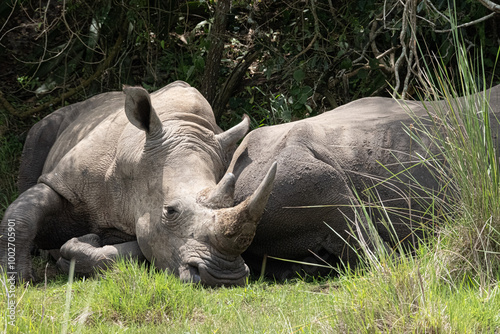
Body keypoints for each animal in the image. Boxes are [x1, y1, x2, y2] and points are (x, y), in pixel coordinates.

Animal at [0, 81, 276, 288]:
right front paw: (17, 279)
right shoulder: (64, 182)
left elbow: (135, 251)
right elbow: (25, 213)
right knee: (37, 136)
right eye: (170, 211)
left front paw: (79, 249)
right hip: (57, 120)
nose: (224, 277)